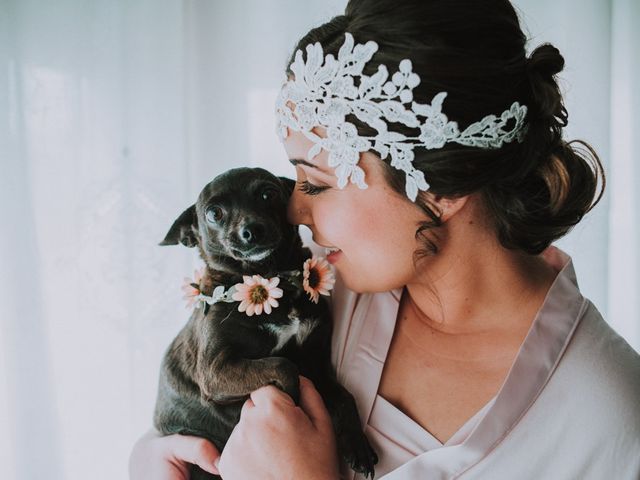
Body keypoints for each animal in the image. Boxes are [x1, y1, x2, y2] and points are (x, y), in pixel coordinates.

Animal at [153, 167, 378, 478]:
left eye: (267, 194)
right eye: (214, 213)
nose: (251, 231)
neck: (273, 280)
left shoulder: (317, 362)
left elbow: (345, 396)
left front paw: (357, 445)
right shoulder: (215, 370)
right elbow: (283, 365)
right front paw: (293, 402)